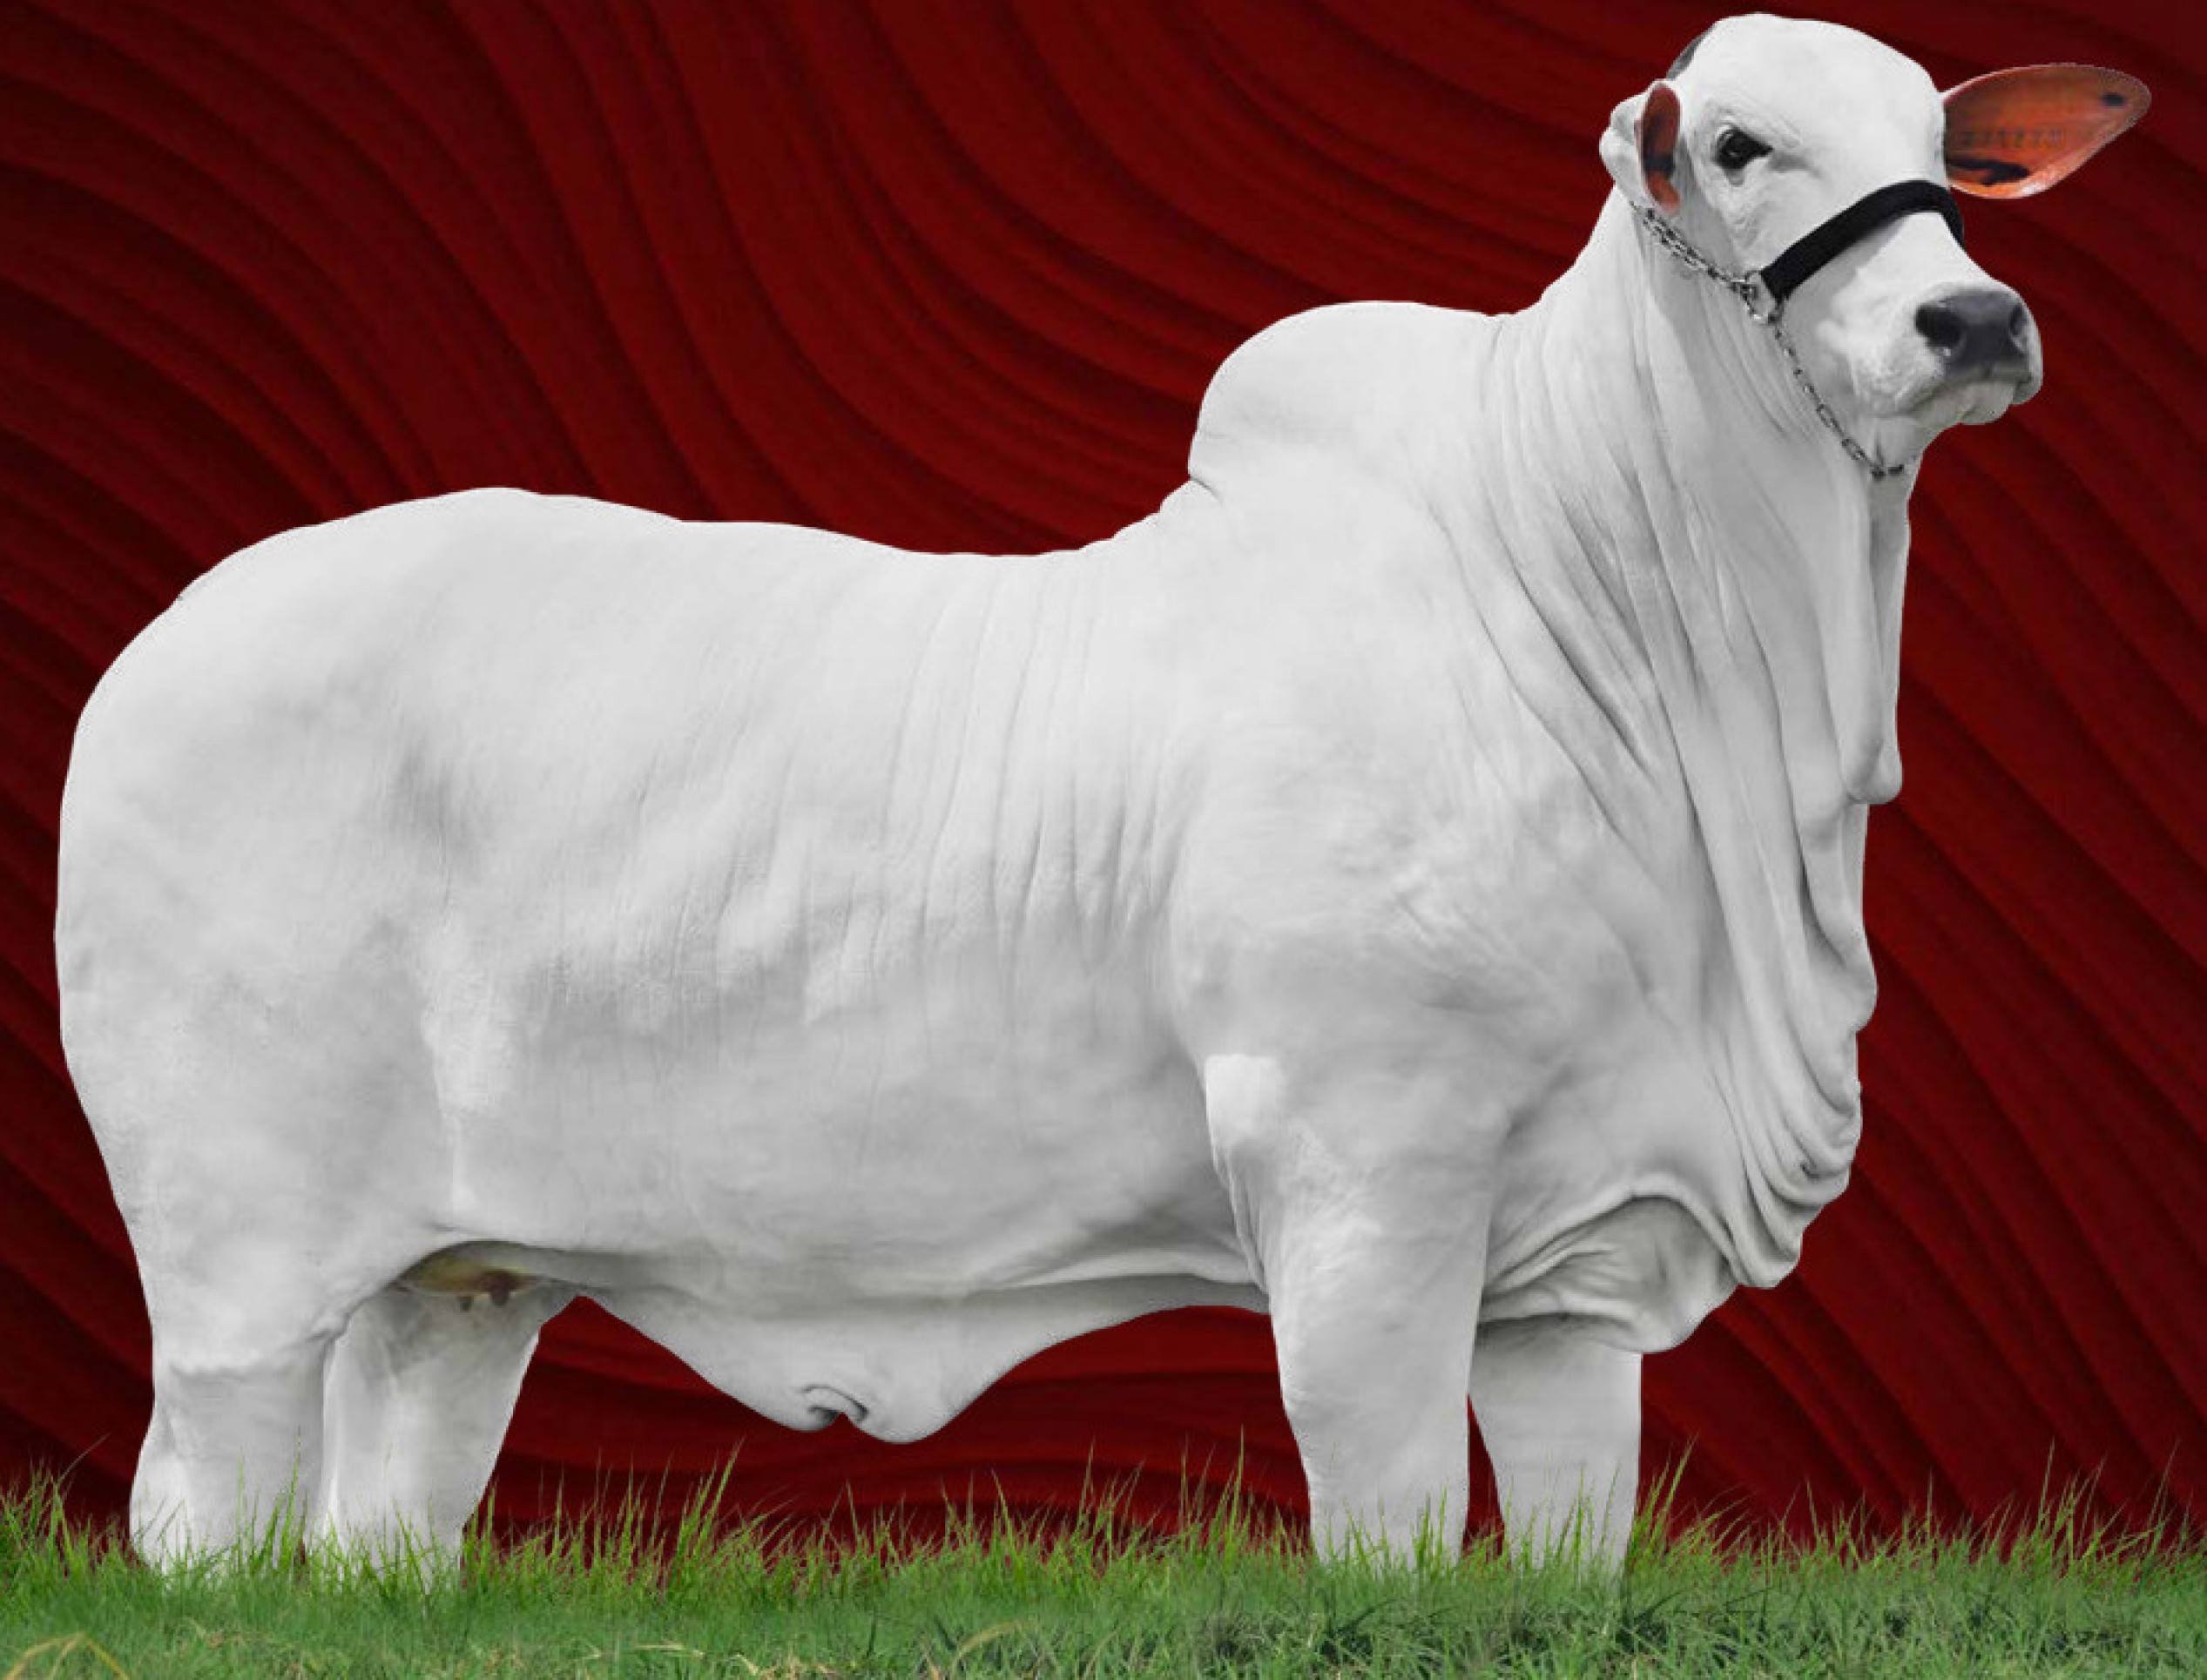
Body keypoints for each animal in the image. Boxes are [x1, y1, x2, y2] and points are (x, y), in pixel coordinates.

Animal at [55, 14, 2145, 1577]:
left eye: (1944, 154)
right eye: (1732, 143)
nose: (1971, 324)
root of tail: (169, 634)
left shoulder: (1574, 1269)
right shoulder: (1359, 1174)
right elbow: (1384, 1510)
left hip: (453, 1282)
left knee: (385, 1514)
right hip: (234, 1253)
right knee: (197, 1518)